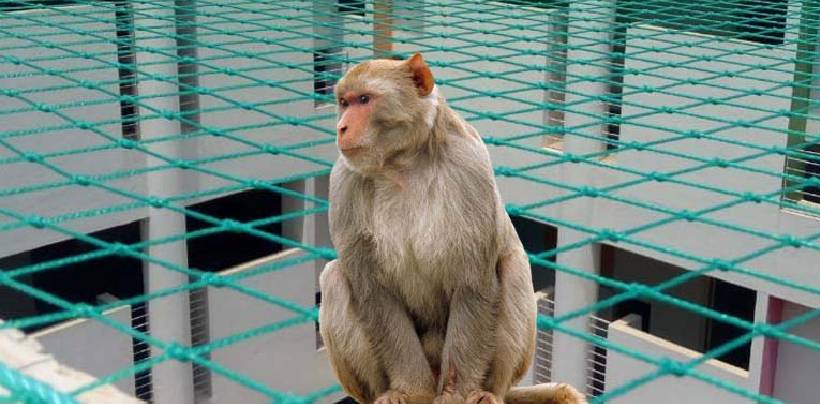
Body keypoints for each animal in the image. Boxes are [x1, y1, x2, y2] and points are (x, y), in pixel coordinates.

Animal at [318, 53, 586, 404]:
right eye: (343, 102)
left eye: (364, 99)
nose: (342, 127)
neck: (402, 165)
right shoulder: (344, 182)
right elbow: (373, 292)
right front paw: (411, 391)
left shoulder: (469, 166)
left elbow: (472, 283)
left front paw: (455, 394)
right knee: (335, 277)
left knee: (512, 266)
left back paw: (489, 392)